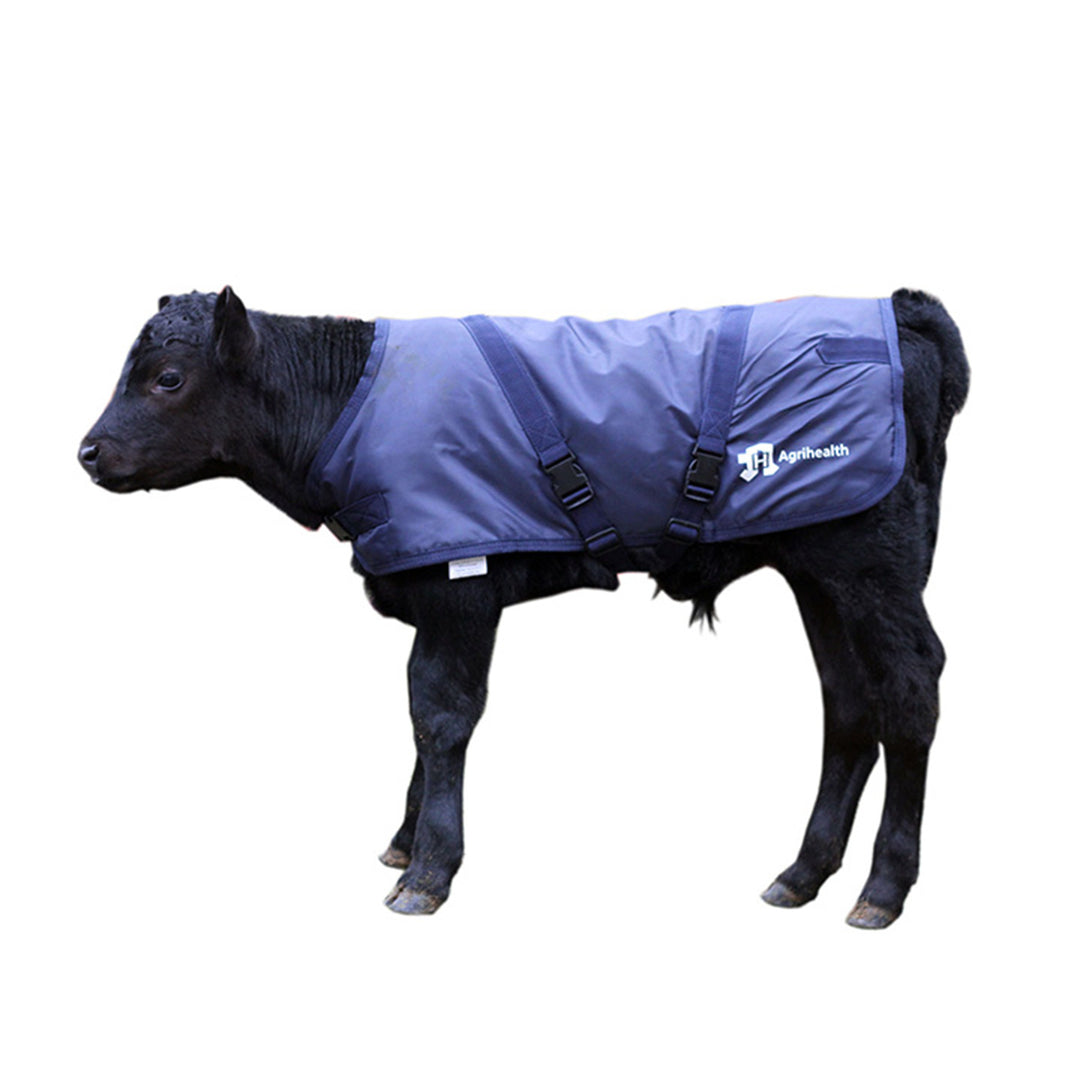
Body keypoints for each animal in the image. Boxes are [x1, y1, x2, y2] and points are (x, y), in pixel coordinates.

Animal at [79, 286, 968, 928]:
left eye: (165, 378)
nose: (87, 451)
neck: (354, 406)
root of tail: (898, 307)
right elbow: (422, 714)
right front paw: (404, 845)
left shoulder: (459, 586)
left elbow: (441, 715)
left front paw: (429, 871)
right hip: (817, 569)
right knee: (847, 702)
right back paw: (803, 874)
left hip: (873, 565)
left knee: (909, 691)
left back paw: (883, 889)